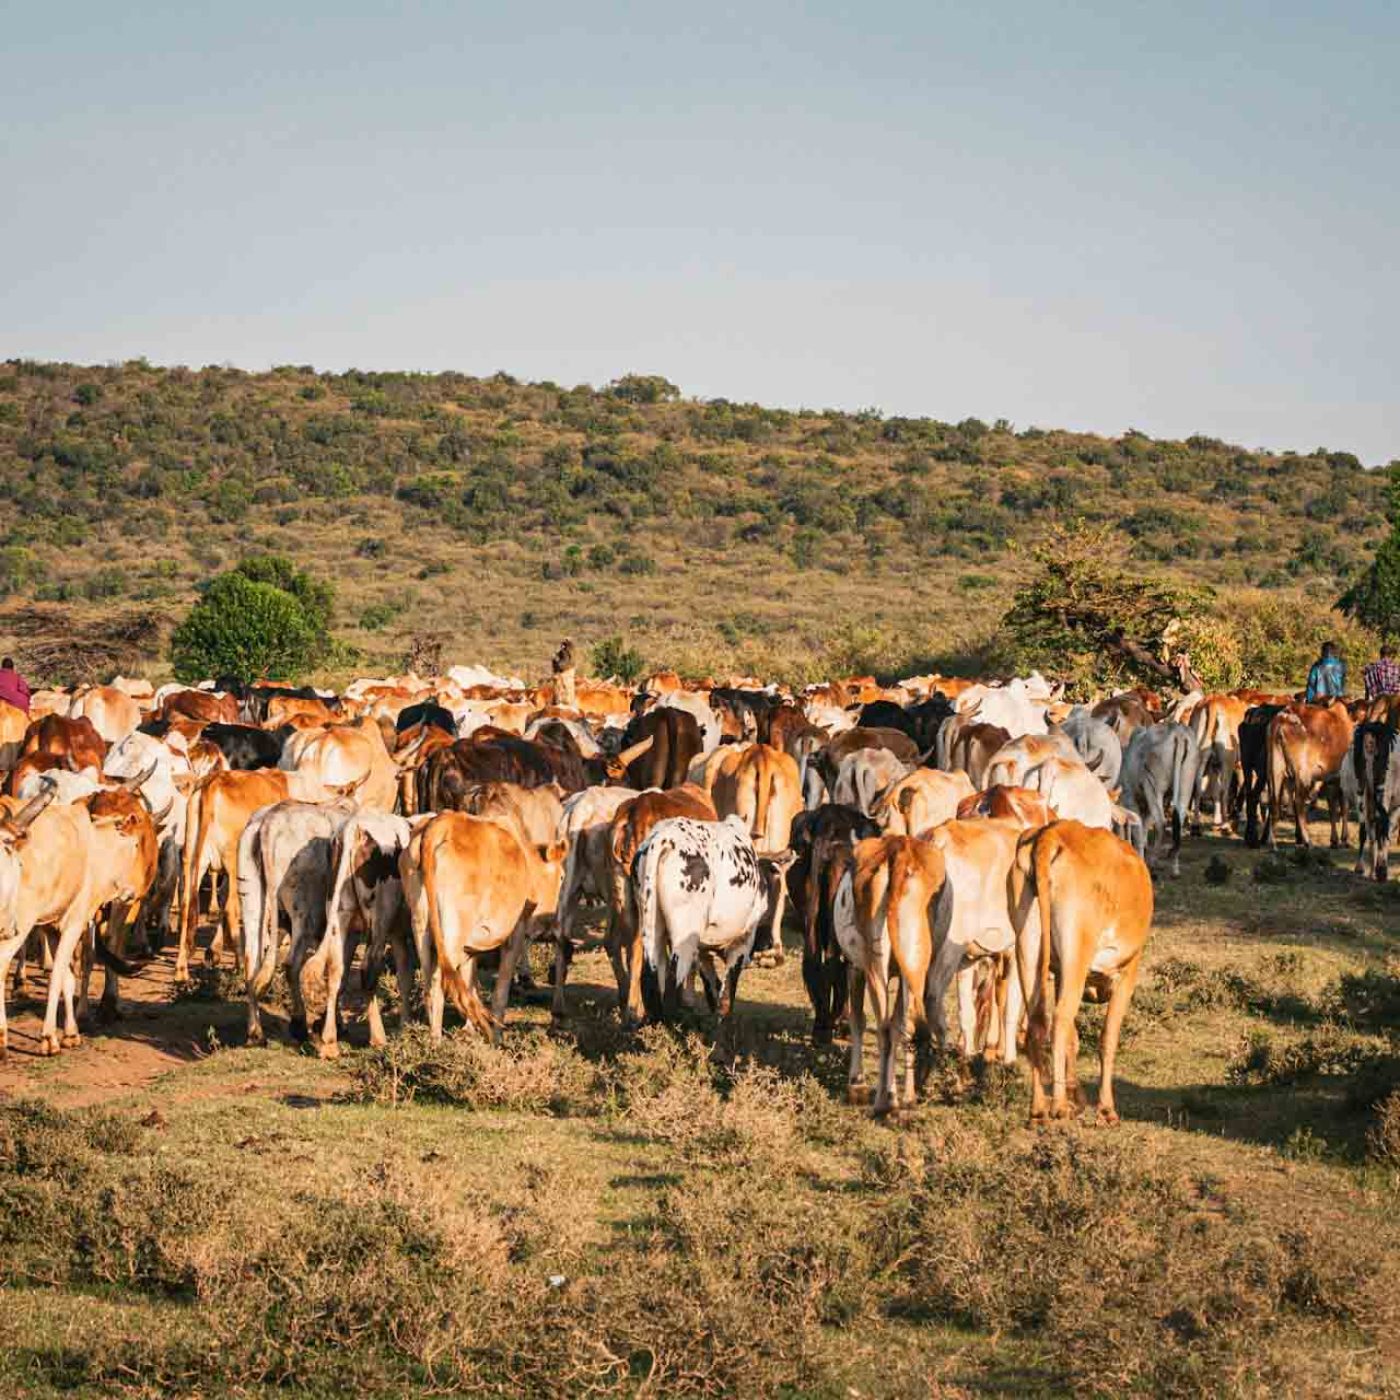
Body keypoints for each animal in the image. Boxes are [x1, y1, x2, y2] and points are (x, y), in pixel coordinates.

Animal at [638, 817, 795, 1036]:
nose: (769, 947)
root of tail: (664, 839)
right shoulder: (741, 945)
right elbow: (726, 998)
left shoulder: (703, 952)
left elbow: (714, 990)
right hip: (683, 941)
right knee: (673, 984)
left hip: (652, 933)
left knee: (650, 981)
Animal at [1013, 817, 1153, 1125]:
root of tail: (1055, 831)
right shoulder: (1127, 972)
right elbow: (1108, 1039)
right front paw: (1106, 1108)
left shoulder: (1058, 974)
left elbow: (1074, 1041)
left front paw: (1078, 1098)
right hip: (1077, 954)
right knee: (1060, 1019)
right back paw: (1058, 1106)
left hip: (1027, 949)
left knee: (1038, 1023)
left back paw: (1039, 1110)